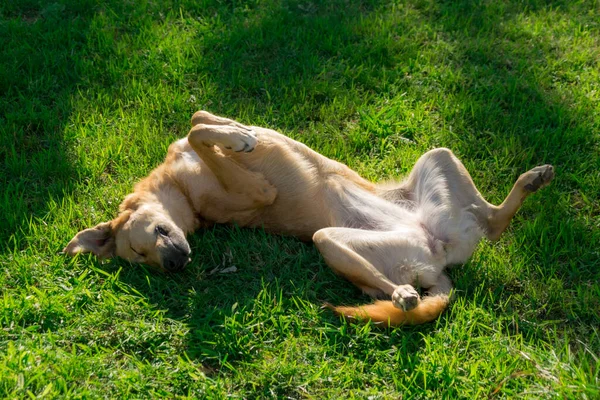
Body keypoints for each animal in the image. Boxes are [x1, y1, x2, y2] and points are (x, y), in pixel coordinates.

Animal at [63, 110, 556, 324]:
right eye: (141, 258)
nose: (174, 265)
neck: (181, 189)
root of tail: (438, 261)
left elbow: (198, 119)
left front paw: (237, 133)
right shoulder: (257, 190)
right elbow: (199, 131)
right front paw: (234, 139)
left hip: (438, 157)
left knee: (493, 221)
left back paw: (532, 180)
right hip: (331, 241)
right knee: (388, 287)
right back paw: (402, 296)